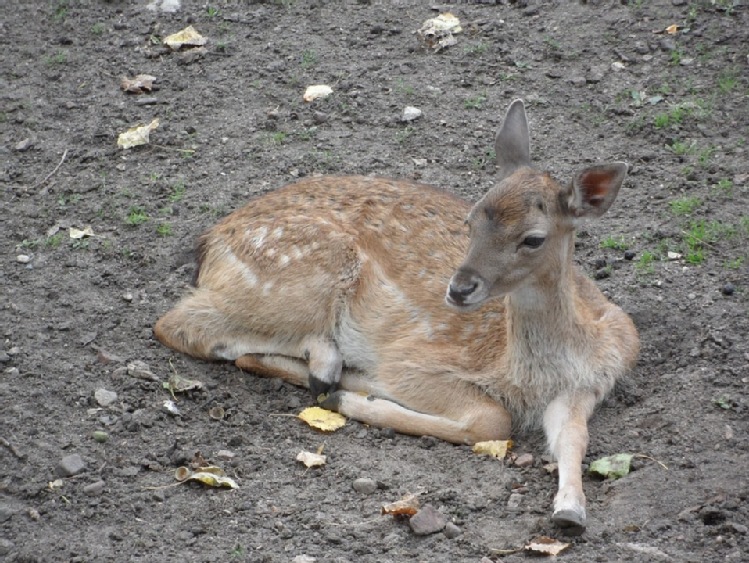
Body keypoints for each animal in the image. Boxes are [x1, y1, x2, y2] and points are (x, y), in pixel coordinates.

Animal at [155, 99, 640, 536]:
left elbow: (574, 438)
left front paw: (571, 511)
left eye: (533, 238)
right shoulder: (412, 358)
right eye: (470, 219)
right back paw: (330, 371)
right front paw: (356, 399)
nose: (458, 288)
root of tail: (210, 243)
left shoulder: (589, 386)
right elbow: (492, 419)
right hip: (300, 278)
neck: (531, 374)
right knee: (177, 324)